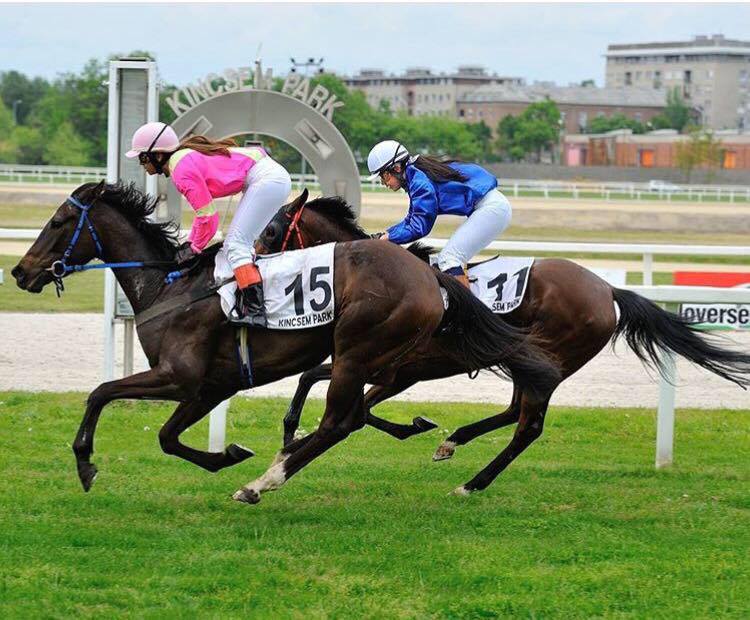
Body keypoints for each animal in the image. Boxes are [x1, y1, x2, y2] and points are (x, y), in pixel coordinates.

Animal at [10, 182, 564, 502]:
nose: (19, 271)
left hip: (358, 351)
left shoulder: (177, 376)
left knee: (341, 422)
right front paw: (227, 455)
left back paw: (264, 483)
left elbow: (100, 392)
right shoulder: (209, 386)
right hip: (374, 358)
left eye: (57, 222)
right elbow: (167, 437)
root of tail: (430, 277)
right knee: (353, 416)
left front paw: (85, 462)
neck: (168, 288)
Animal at [258, 189, 750, 494]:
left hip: (552, 360)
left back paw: (472, 482)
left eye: (270, 231)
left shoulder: (399, 370)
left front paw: (294, 442)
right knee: (516, 411)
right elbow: (323, 385)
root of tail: (607, 290)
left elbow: (347, 403)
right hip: (526, 360)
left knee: (528, 425)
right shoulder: (387, 369)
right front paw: (294, 436)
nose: (249, 266)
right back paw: (453, 441)